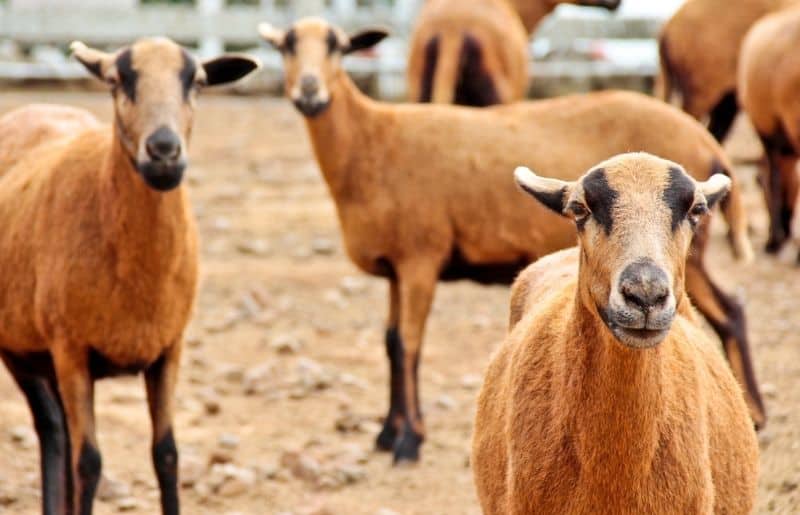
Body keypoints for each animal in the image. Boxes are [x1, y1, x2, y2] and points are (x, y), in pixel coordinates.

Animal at [0, 38, 259, 515]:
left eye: (197, 82)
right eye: (117, 81)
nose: (164, 151)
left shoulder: (169, 347)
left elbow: (167, 454)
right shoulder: (71, 348)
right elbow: (90, 462)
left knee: (59, 432)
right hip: (26, 345)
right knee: (53, 432)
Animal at [259, 17, 764, 463]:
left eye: (338, 47)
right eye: (285, 46)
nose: (309, 93)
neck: (371, 140)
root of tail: (706, 143)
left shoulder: (421, 258)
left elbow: (409, 344)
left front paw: (409, 442)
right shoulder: (395, 270)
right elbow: (390, 342)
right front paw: (388, 432)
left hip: (686, 260)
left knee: (731, 311)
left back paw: (755, 414)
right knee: (732, 311)